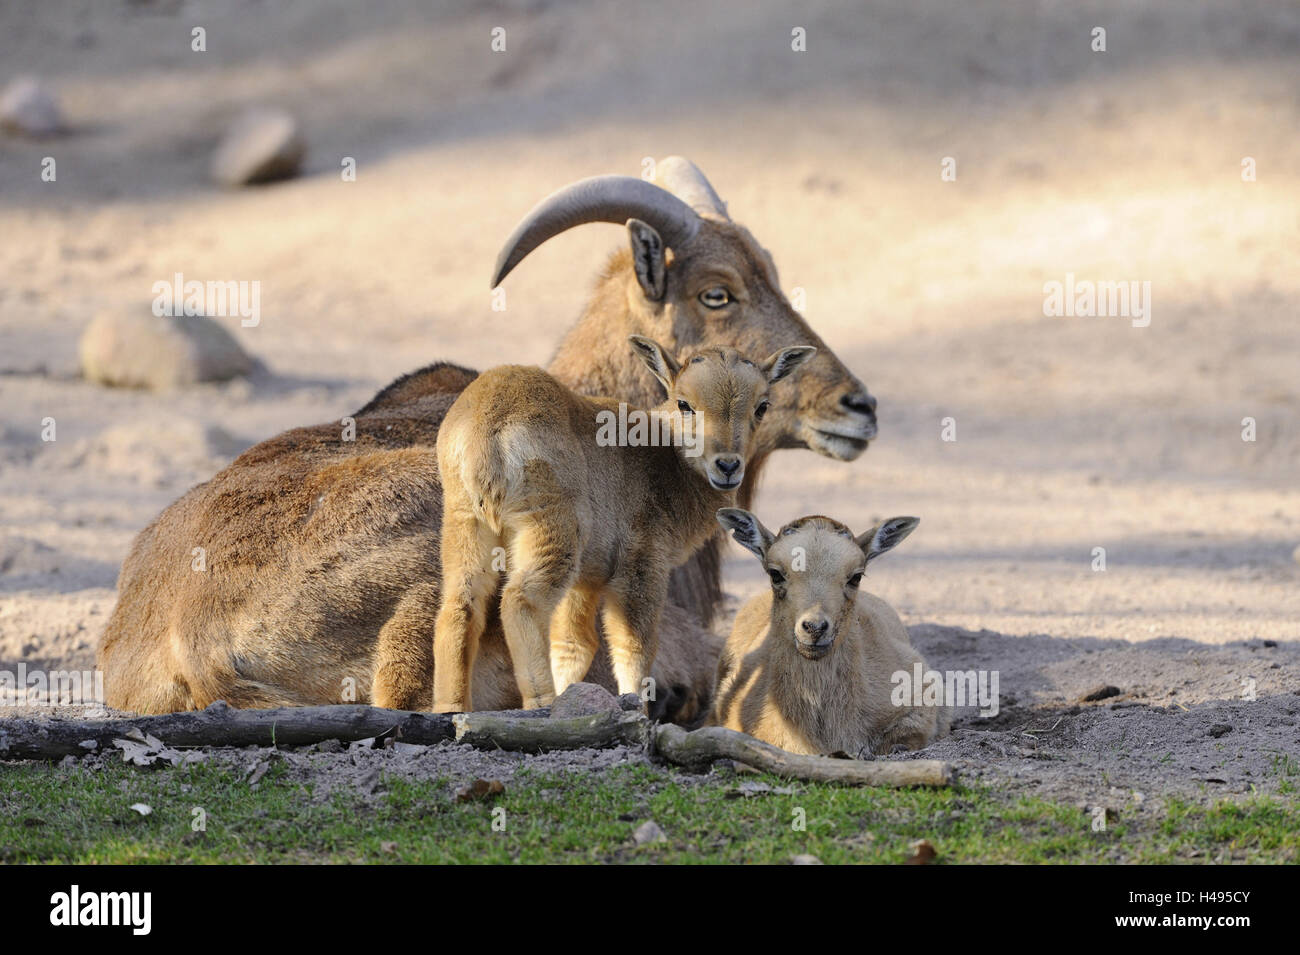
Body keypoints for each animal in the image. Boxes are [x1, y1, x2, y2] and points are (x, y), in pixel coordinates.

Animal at [431, 335, 811, 712]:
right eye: (684, 403)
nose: (728, 466)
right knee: (520, 600)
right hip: (550, 527)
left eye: (762, 406)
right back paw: (542, 702)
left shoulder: (587, 580)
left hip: (465, 522)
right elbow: (635, 645)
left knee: (460, 605)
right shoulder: (641, 563)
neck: (667, 456)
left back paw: (451, 706)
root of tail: (487, 424)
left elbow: (573, 644)